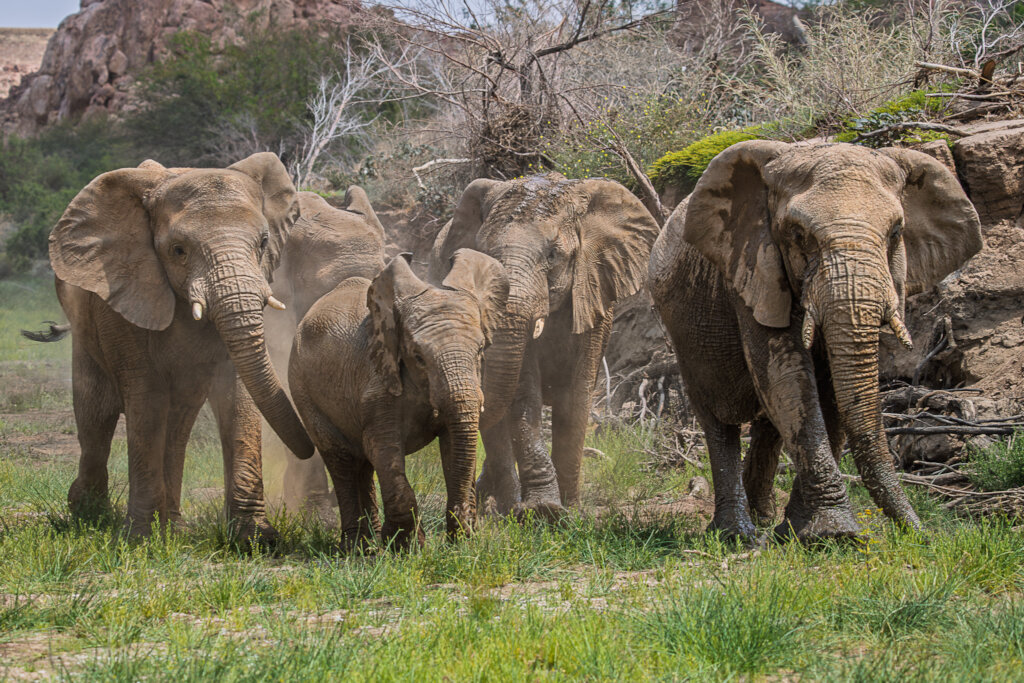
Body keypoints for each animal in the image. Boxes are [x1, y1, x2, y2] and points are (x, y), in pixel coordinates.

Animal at [28, 152, 314, 542]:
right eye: (178, 250)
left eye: (263, 243)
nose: (310, 448)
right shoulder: (124, 289)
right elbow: (145, 397)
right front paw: (139, 540)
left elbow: (239, 391)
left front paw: (256, 539)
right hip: (84, 326)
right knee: (96, 412)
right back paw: (90, 515)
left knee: (179, 421)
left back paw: (173, 527)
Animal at [288, 250, 509, 548]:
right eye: (418, 356)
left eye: (480, 350)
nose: (466, 530)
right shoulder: (377, 384)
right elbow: (382, 447)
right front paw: (409, 547)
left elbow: (454, 445)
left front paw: (462, 541)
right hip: (302, 388)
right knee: (341, 458)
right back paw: (357, 548)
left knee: (362, 464)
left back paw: (370, 545)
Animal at [430, 173, 659, 516]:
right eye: (481, 254)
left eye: (552, 255)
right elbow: (524, 394)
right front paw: (542, 511)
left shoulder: (594, 292)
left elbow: (577, 395)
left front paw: (571, 512)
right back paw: (504, 507)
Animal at [649, 141, 983, 542]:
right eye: (798, 234)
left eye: (896, 231)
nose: (922, 535)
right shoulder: (754, 270)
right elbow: (787, 376)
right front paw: (834, 535)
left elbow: (829, 390)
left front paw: (805, 532)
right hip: (682, 327)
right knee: (719, 418)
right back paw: (738, 535)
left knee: (768, 421)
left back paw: (767, 522)